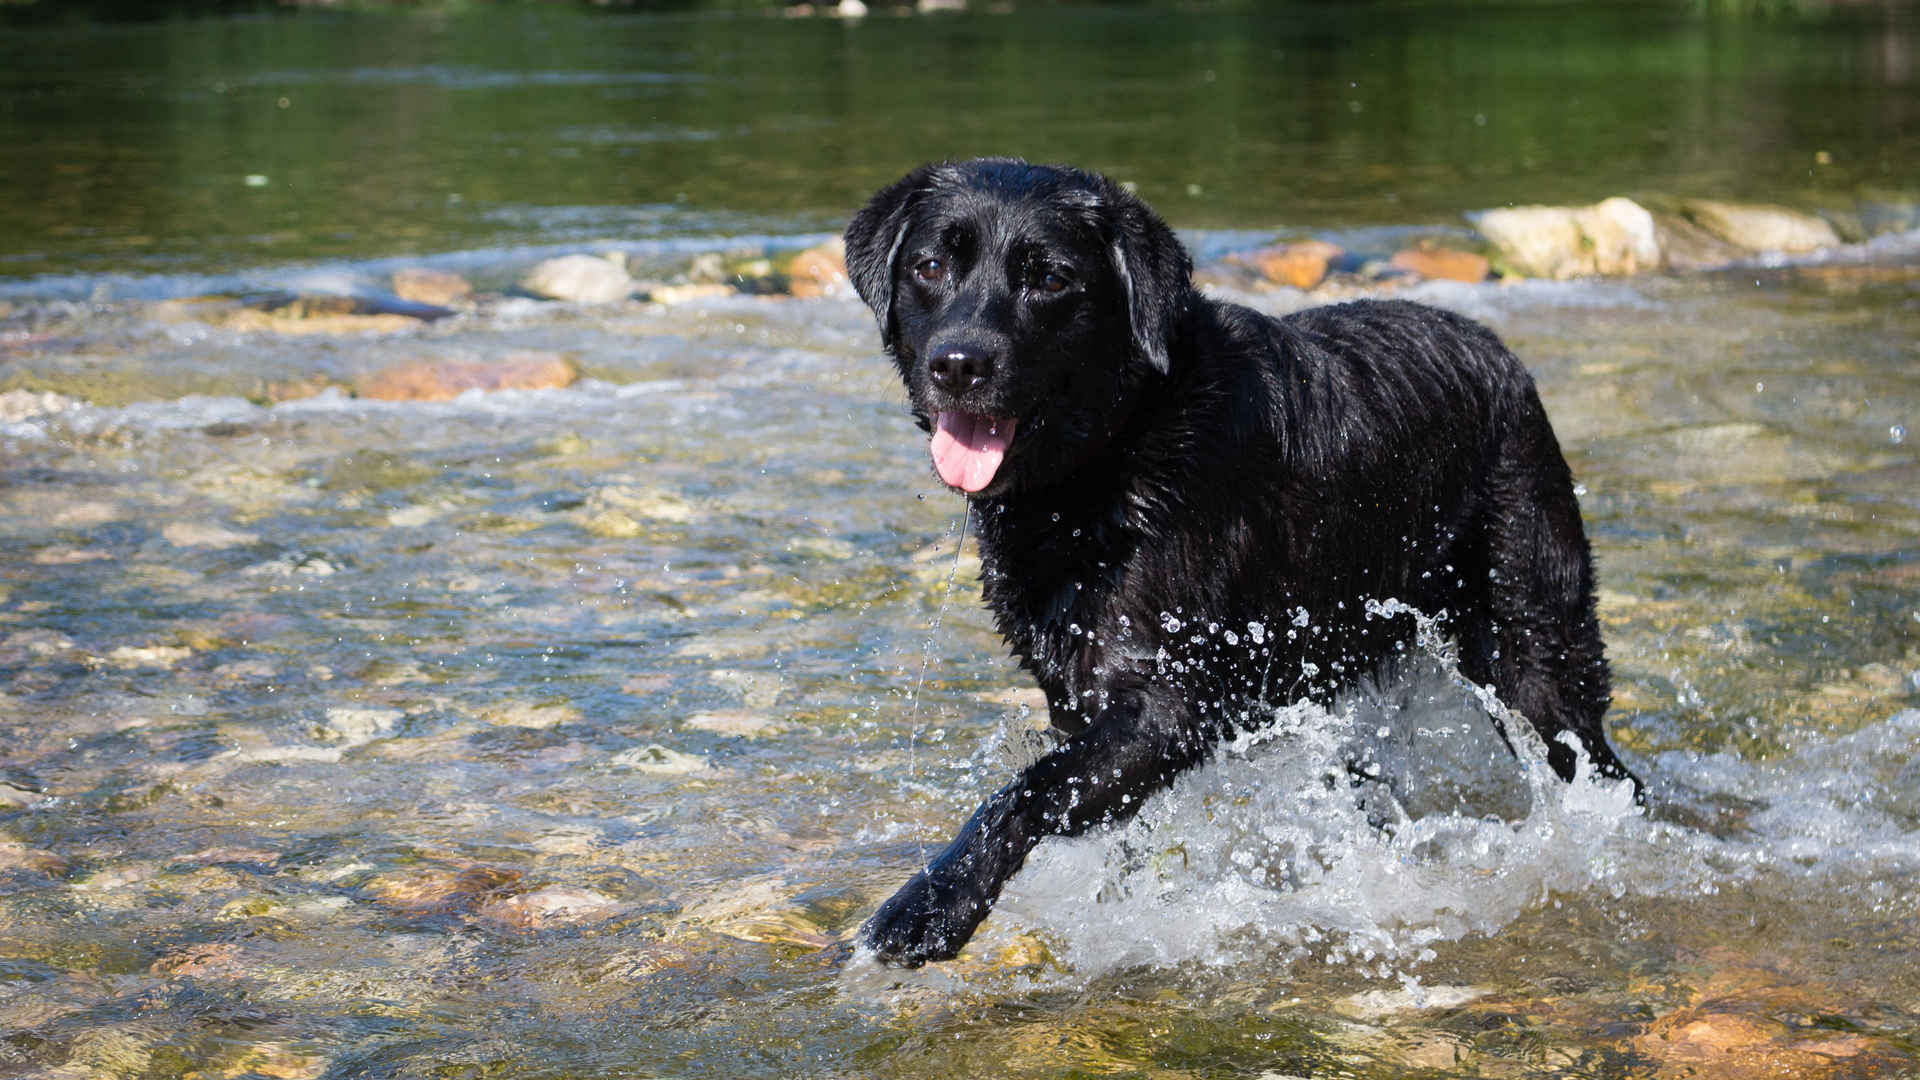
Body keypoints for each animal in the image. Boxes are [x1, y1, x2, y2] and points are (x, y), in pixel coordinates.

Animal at [840, 155, 1635, 960]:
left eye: (1052, 280)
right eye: (931, 266)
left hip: (1532, 644)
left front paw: (927, 906)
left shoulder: (1170, 700)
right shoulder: (1079, 691)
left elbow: (1026, 790)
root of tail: (1503, 357)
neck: (1113, 453)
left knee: (1595, 760)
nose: (959, 364)